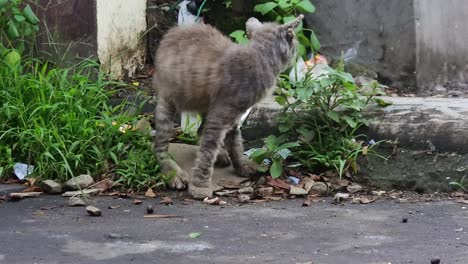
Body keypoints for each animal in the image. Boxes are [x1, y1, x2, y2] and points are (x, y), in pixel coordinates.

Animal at [154, 14, 304, 198]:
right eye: (294, 40)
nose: (297, 50)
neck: (260, 57)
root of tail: (171, 33)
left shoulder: (234, 114)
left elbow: (235, 142)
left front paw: (242, 165)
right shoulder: (221, 114)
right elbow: (207, 151)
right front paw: (200, 186)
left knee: (200, 130)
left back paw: (220, 155)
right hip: (167, 101)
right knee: (160, 145)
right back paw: (173, 172)